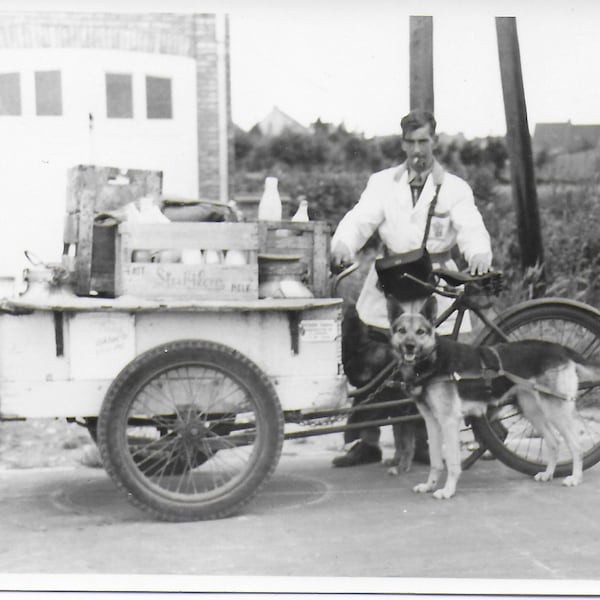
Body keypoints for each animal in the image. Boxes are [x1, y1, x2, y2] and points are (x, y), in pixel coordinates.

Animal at [386, 292, 592, 500]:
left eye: (420, 332)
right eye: (401, 330)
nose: (409, 346)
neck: (433, 361)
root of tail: (559, 348)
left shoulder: (449, 421)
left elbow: (452, 462)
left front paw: (448, 490)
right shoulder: (432, 421)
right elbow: (435, 460)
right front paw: (429, 485)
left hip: (555, 410)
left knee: (575, 445)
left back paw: (575, 478)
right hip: (533, 411)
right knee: (554, 442)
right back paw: (548, 474)